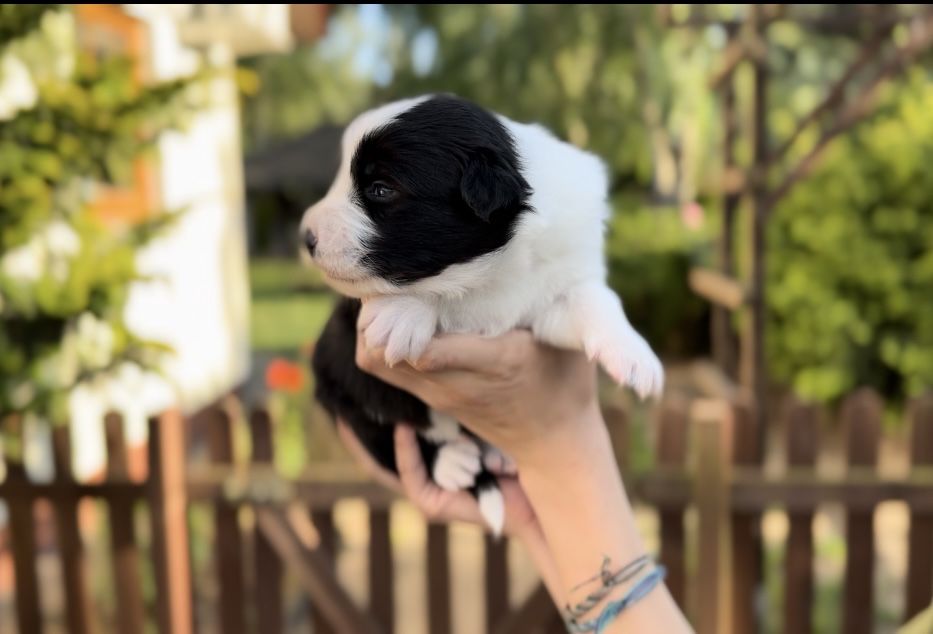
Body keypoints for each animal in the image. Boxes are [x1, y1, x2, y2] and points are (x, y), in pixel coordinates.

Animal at [304, 94, 664, 532]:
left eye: (380, 189)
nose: (306, 237)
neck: (498, 268)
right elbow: (426, 288)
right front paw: (399, 314)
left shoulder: (560, 286)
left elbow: (595, 300)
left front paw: (635, 357)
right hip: (336, 377)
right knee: (381, 431)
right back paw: (451, 461)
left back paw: (494, 453)